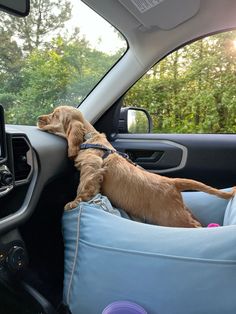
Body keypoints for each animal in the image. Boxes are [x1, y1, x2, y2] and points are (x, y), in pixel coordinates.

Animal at [37, 106, 235, 227]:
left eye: (55, 115)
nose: (38, 118)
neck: (89, 138)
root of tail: (173, 183)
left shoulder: (92, 168)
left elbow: (84, 186)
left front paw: (74, 202)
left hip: (173, 217)